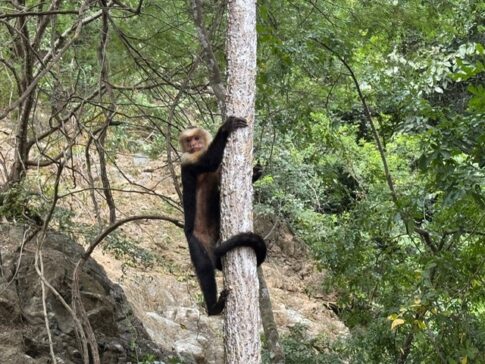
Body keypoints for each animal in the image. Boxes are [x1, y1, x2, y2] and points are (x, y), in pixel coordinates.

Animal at [180, 116, 266, 316]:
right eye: (189, 140)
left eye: (196, 138)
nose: (193, 144)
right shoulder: (187, 158)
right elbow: (209, 162)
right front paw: (226, 127)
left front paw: (256, 172)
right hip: (195, 241)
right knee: (204, 267)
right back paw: (214, 308)